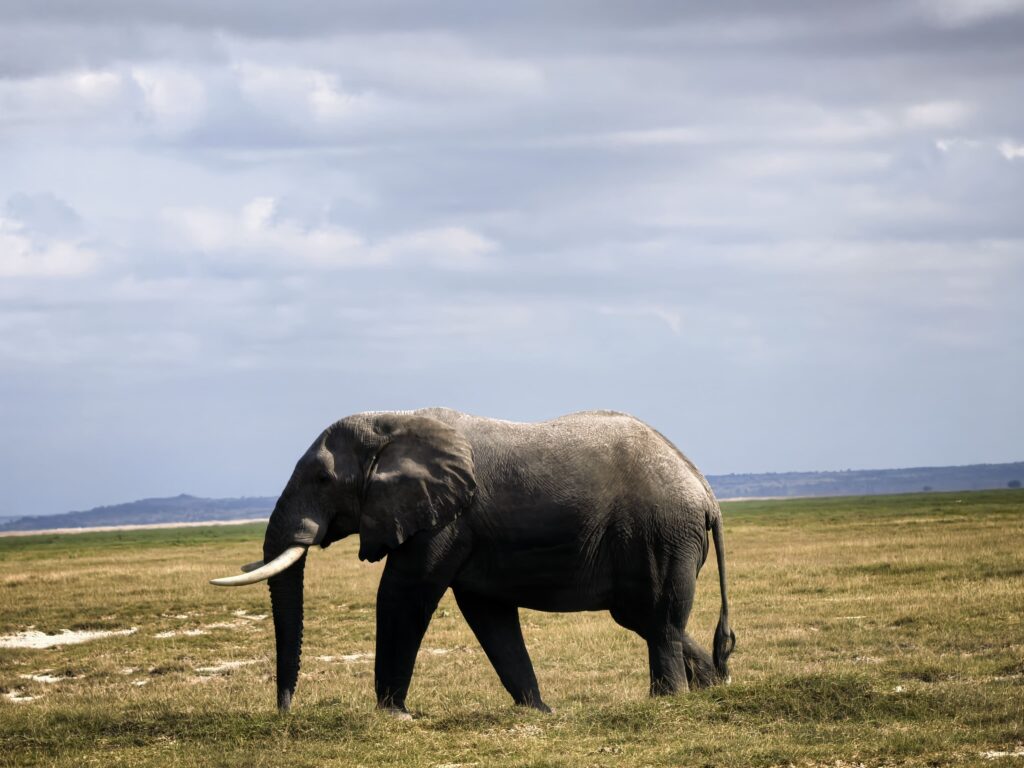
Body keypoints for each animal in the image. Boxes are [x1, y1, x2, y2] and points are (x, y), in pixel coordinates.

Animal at [211, 408, 736, 716]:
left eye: (322, 479)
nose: (285, 712)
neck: (391, 422)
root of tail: (706, 491)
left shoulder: (445, 520)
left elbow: (404, 593)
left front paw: (392, 716)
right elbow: (487, 612)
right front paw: (537, 712)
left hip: (660, 532)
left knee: (658, 620)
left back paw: (668, 701)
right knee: (646, 619)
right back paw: (712, 689)